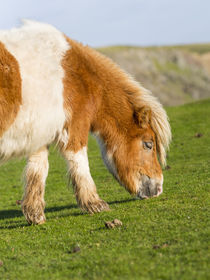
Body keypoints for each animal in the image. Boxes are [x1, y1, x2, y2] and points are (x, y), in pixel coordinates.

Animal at [0, 20, 171, 224]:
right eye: (148, 144)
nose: (158, 188)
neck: (78, 76)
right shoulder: (75, 127)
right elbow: (79, 164)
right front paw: (94, 204)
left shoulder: (41, 134)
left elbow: (38, 169)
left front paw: (35, 214)